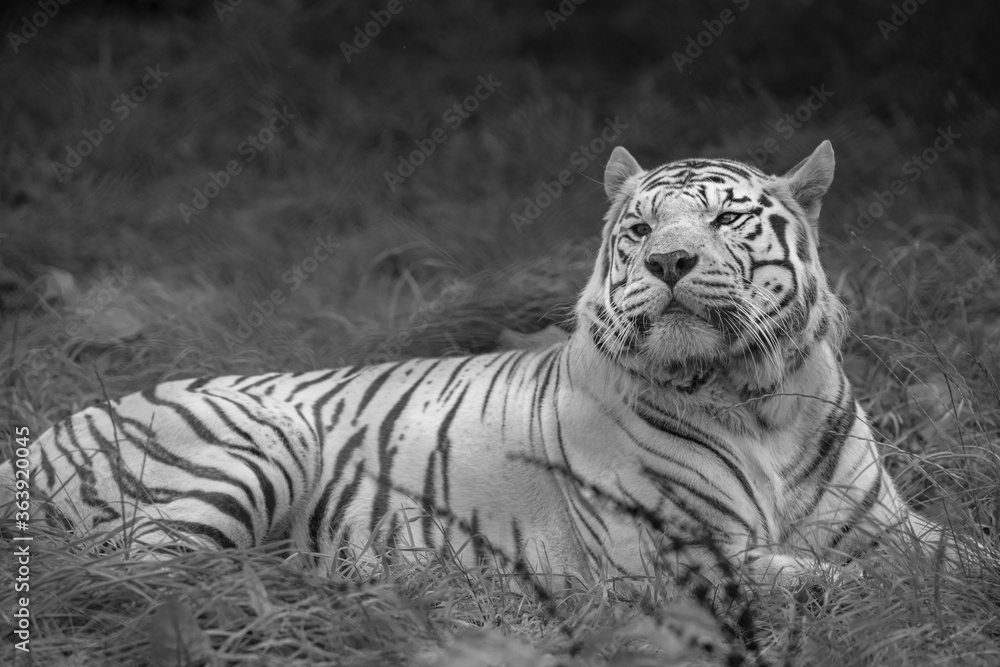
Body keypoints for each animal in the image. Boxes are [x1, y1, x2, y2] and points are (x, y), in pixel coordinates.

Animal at [1, 141, 977, 595]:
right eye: (639, 227)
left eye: (725, 220)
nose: (667, 261)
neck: (759, 398)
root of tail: (42, 432)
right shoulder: (673, 550)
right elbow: (829, 578)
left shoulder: (886, 520)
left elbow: (958, 551)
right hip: (249, 449)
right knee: (132, 581)